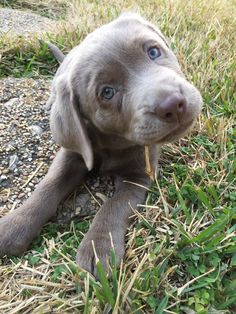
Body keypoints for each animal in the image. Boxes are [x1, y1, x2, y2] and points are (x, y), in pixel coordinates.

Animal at [0, 13, 203, 276]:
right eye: (107, 92)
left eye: (153, 52)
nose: (173, 104)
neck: (112, 143)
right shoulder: (72, 153)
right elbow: (48, 185)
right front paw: (14, 224)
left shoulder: (139, 175)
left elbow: (114, 205)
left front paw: (98, 246)